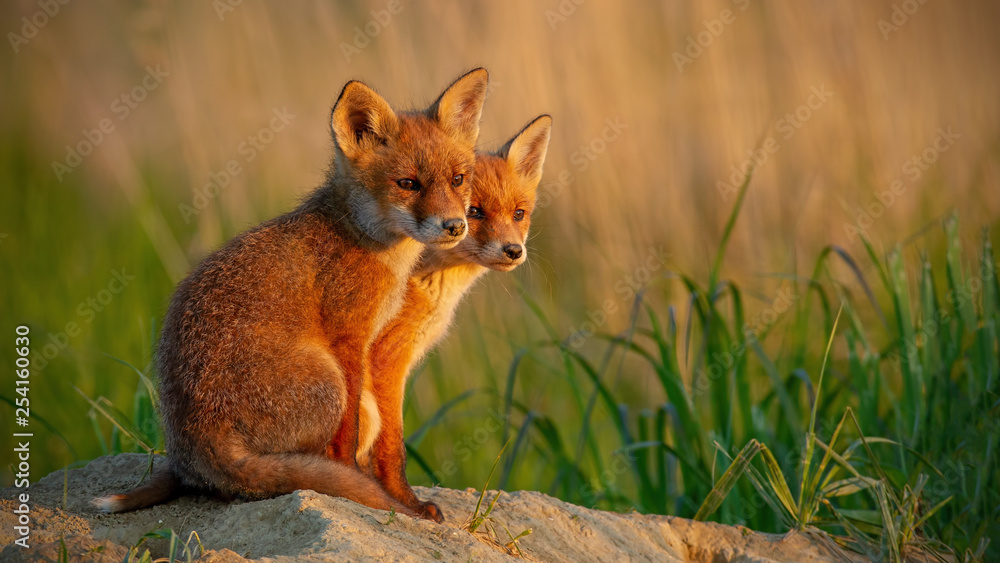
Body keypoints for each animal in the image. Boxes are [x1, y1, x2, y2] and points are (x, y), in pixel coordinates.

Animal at [94, 69, 490, 520]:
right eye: (408, 184)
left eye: (458, 179)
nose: (455, 226)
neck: (363, 238)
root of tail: (195, 443)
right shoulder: (349, 337)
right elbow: (350, 437)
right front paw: (367, 486)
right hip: (328, 382)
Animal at [352, 115, 553, 521]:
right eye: (474, 211)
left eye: (519, 213)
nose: (514, 250)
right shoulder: (387, 358)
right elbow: (392, 445)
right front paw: (404, 502)